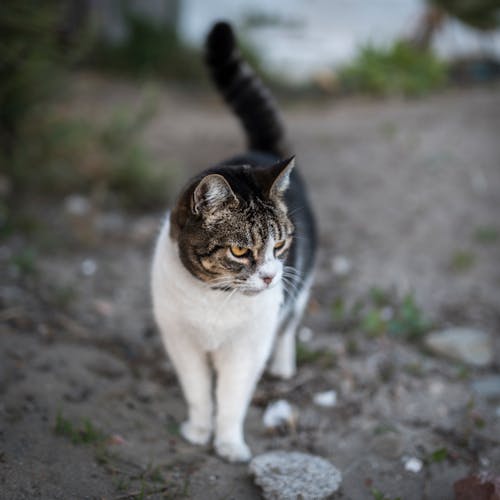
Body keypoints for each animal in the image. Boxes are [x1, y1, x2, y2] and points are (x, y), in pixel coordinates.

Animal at [150, 21, 318, 462]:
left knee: (290, 322)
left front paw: (229, 443)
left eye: (280, 245)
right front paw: (198, 430)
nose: (270, 277)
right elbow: (198, 391)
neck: (216, 301)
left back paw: (283, 362)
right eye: (241, 250)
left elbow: (231, 397)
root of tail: (259, 151)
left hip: (303, 281)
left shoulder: (246, 350)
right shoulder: (181, 341)